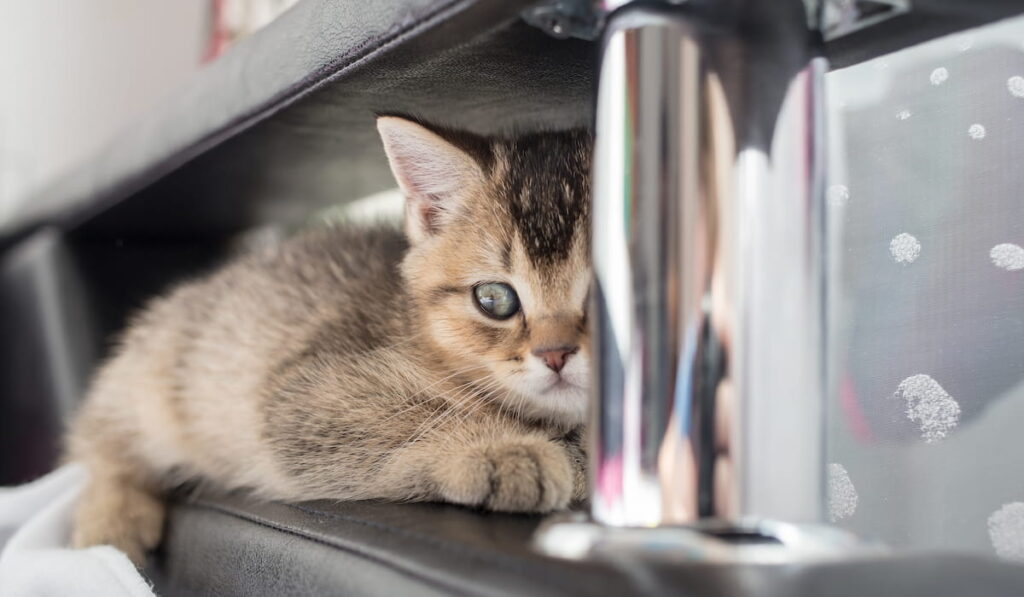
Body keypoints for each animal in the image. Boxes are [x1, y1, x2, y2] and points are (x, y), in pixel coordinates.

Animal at [66, 116, 593, 565]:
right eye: (494, 299)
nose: (555, 354)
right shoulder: (301, 393)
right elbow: (410, 418)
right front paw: (501, 449)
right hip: (153, 377)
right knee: (102, 447)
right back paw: (110, 525)